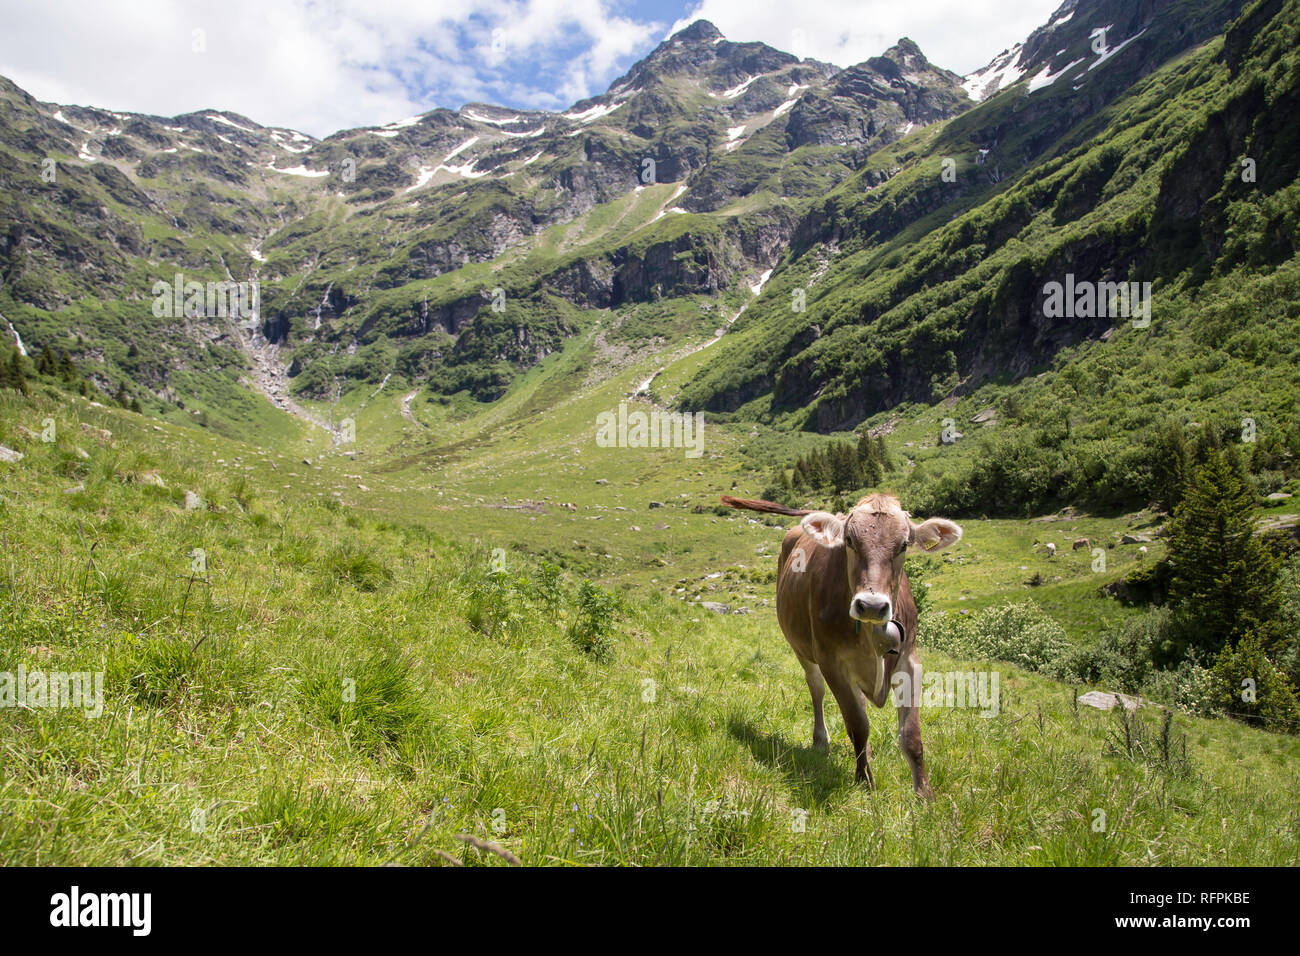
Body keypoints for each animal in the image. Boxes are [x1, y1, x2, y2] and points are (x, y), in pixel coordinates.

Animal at [722, 496, 967, 796]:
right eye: (849, 540)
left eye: (903, 545)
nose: (872, 605)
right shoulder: (831, 662)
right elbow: (857, 725)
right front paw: (864, 780)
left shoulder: (909, 659)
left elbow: (911, 735)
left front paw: (924, 794)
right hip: (801, 649)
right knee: (816, 689)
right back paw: (821, 740)